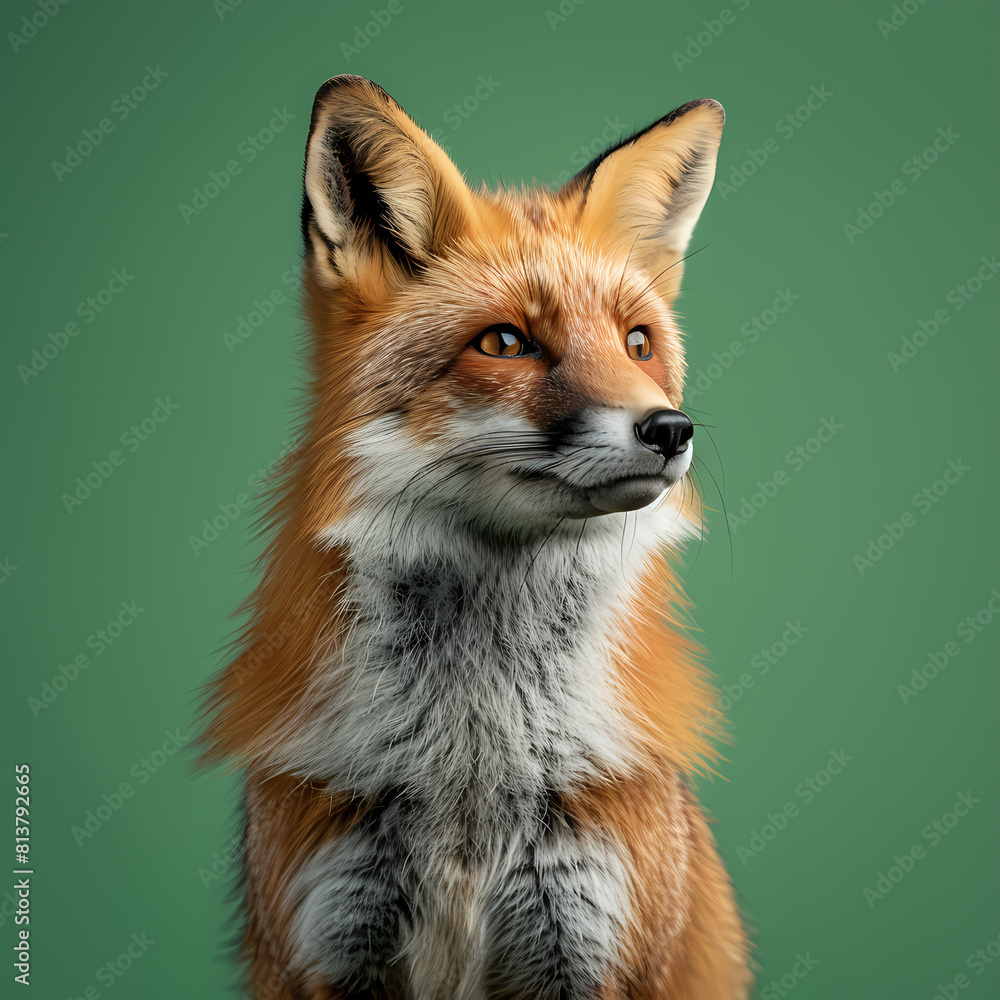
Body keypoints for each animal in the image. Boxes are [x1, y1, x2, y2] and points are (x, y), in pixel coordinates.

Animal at [199, 74, 751, 999]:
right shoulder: (330, 939)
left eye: (637, 343)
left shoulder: (585, 939)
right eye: (505, 342)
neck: (471, 771)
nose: (670, 429)